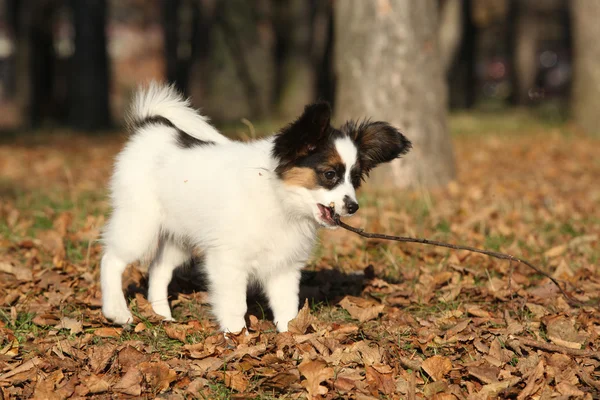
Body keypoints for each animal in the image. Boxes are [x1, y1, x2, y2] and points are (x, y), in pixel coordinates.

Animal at [102, 83, 412, 332]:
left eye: (355, 179)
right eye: (330, 175)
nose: (353, 207)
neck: (279, 198)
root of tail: (151, 127)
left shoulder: (284, 267)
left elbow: (287, 308)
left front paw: (290, 339)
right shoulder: (228, 261)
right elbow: (235, 306)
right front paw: (237, 338)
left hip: (178, 236)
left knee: (159, 269)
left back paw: (162, 316)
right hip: (140, 224)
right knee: (112, 259)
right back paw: (117, 312)